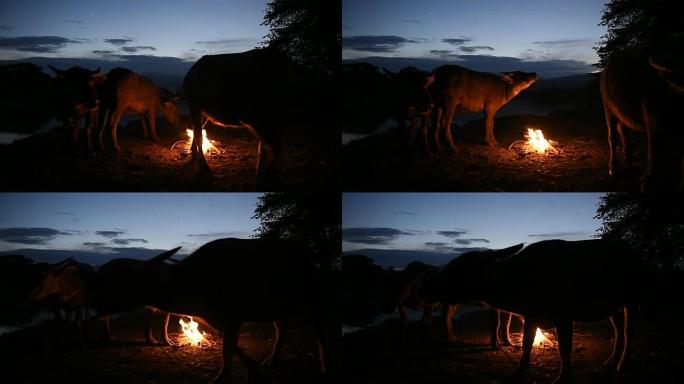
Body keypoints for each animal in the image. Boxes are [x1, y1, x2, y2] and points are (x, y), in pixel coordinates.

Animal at [144, 238, 328, 382]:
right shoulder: (215, 319)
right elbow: (230, 346)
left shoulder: (232, 318)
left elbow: (227, 349)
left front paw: (222, 378)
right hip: (277, 306)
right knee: (282, 327)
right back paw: (271, 361)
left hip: (313, 296)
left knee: (318, 329)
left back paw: (323, 365)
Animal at [438, 242, 640, 382]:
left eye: (462, 267)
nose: (438, 285)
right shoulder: (531, 316)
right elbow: (526, 345)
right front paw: (518, 371)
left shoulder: (564, 317)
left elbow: (565, 349)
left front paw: (563, 377)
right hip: (615, 307)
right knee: (618, 330)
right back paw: (611, 360)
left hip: (631, 300)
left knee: (628, 332)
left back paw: (621, 364)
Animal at [600, 48, 680, 191]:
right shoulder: (654, 122)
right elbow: (653, 150)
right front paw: (648, 182)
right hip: (608, 109)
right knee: (612, 136)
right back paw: (613, 168)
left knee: (623, 129)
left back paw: (628, 158)